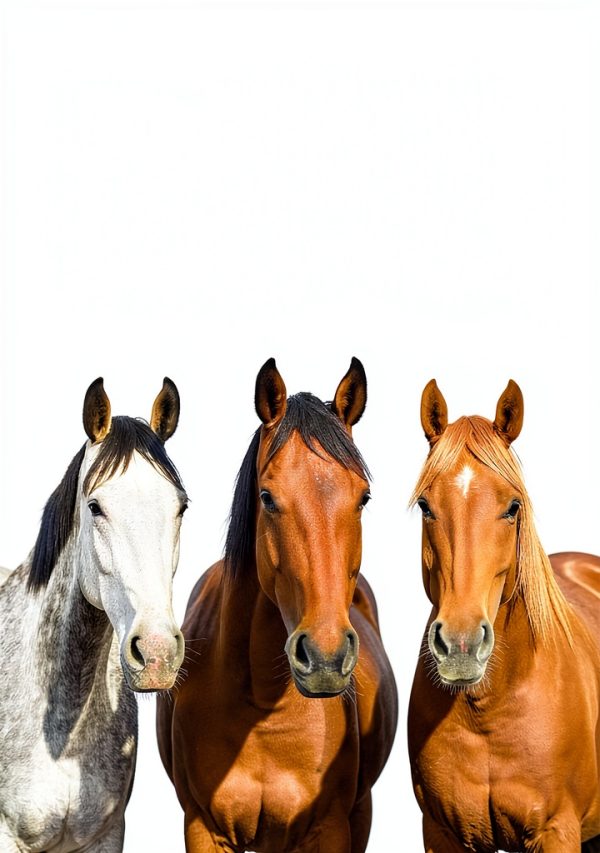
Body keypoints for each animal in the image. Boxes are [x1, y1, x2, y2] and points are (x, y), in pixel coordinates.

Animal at [157, 357, 398, 853]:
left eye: (363, 497)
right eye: (267, 498)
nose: (325, 657)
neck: (262, 709)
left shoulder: (328, 828)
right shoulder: (202, 828)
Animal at [408, 379, 600, 852]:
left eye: (513, 506)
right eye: (425, 506)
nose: (461, 645)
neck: (489, 709)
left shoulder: (556, 831)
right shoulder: (442, 833)